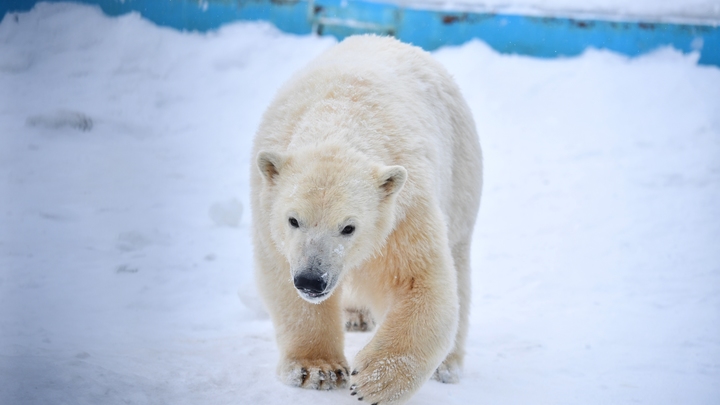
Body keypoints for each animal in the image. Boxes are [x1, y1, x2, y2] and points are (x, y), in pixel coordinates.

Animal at [250, 35, 480, 404]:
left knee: (458, 263)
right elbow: (282, 280)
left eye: (349, 227)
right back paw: (355, 316)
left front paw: (374, 380)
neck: (342, 118)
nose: (311, 280)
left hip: (461, 171)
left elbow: (419, 282)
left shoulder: (404, 209)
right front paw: (317, 370)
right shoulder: (267, 209)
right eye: (293, 220)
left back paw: (447, 366)